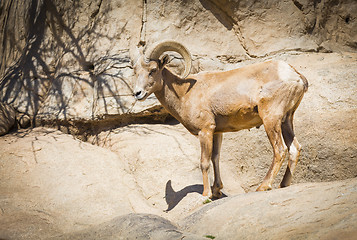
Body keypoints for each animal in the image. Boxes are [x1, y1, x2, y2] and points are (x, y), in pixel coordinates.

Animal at [132, 40, 308, 199]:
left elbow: (204, 162)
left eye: (153, 70)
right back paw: (283, 185)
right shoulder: (217, 133)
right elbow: (215, 158)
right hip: (286, 120)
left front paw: (207, 194)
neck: (184, 94)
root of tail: (296, 77)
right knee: (294, 149)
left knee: (280, 150)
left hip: (271, 119)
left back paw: (263, 186)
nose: (137, 93)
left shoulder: (205, 131)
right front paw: (217, 190)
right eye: (135, 72)